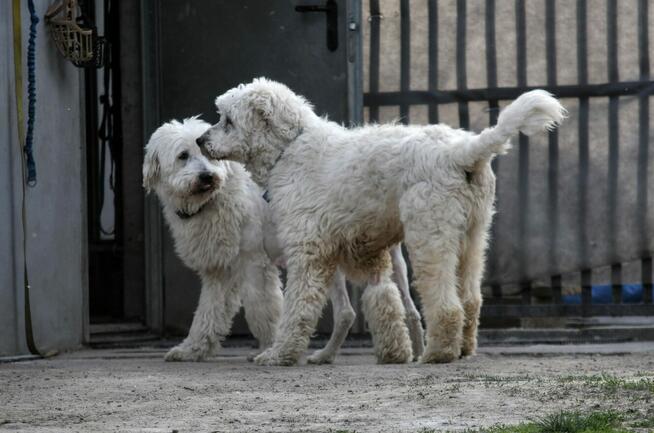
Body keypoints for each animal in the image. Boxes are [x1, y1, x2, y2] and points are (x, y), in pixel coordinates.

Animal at [145, 116, 284, 360]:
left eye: (208, 155)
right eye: (183, 156)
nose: (207, 176)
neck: (212, 201)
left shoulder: (256, 263)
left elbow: (262, 308)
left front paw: (270, 346)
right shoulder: (219, 270)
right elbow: (209, 310)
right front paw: (192, 348)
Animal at [197, 77, 568, 364]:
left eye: (227, 120)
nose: (200, 141)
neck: (290, 148)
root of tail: (461, 152)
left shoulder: (307, 253)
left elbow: (297, 309)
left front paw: (279, 354)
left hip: (431, 236)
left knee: (445, 304)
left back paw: (437, 353)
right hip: (473, 237)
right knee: (471, 299)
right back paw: (463, 348)